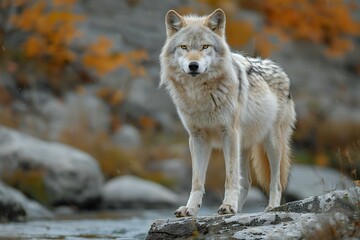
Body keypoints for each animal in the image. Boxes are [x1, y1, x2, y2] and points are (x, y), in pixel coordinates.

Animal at [160, 8, 296, 218]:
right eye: (184, 47)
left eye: (205, 46)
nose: (193, 65)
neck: (200, 96)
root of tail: (279, 69)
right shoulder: (197, 138)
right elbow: (197, 180)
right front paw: (190, 209)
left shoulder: (229, 134)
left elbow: (230, 177)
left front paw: (228, 206)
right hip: (243, 145)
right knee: (247, 182)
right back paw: (237, 210)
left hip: (271, 144)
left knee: (276, 182)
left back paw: (271, 207)